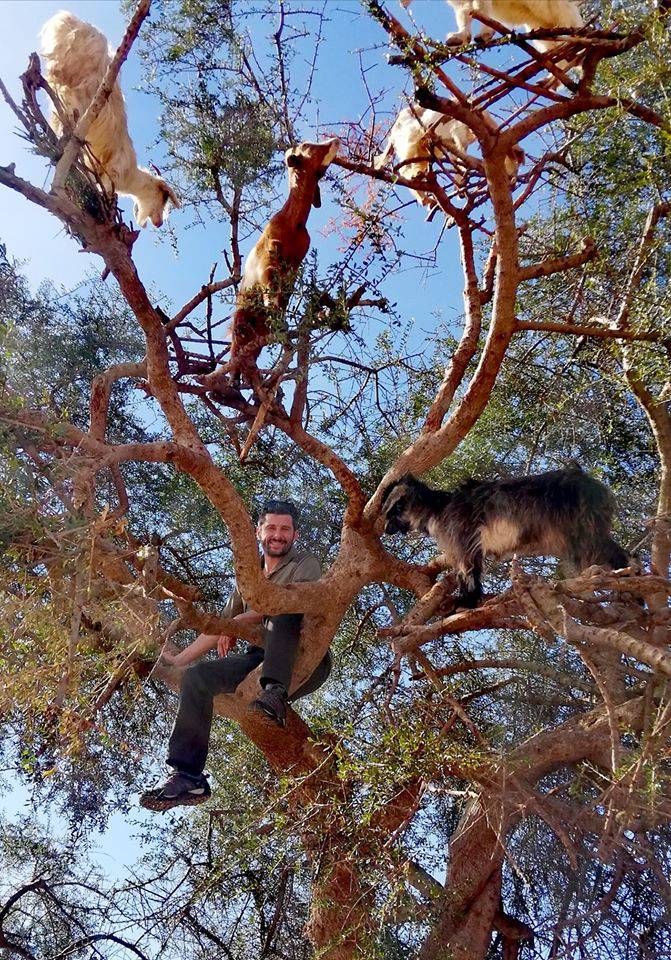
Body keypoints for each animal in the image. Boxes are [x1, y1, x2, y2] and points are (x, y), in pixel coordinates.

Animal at [384, 464, 632, 608]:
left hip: (583, 529)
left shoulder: (464, 540)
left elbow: (469, 571)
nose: (386, 529)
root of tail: (596, 485)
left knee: (616, 555)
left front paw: (468, 601)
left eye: (390, 512)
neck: (438, 509)